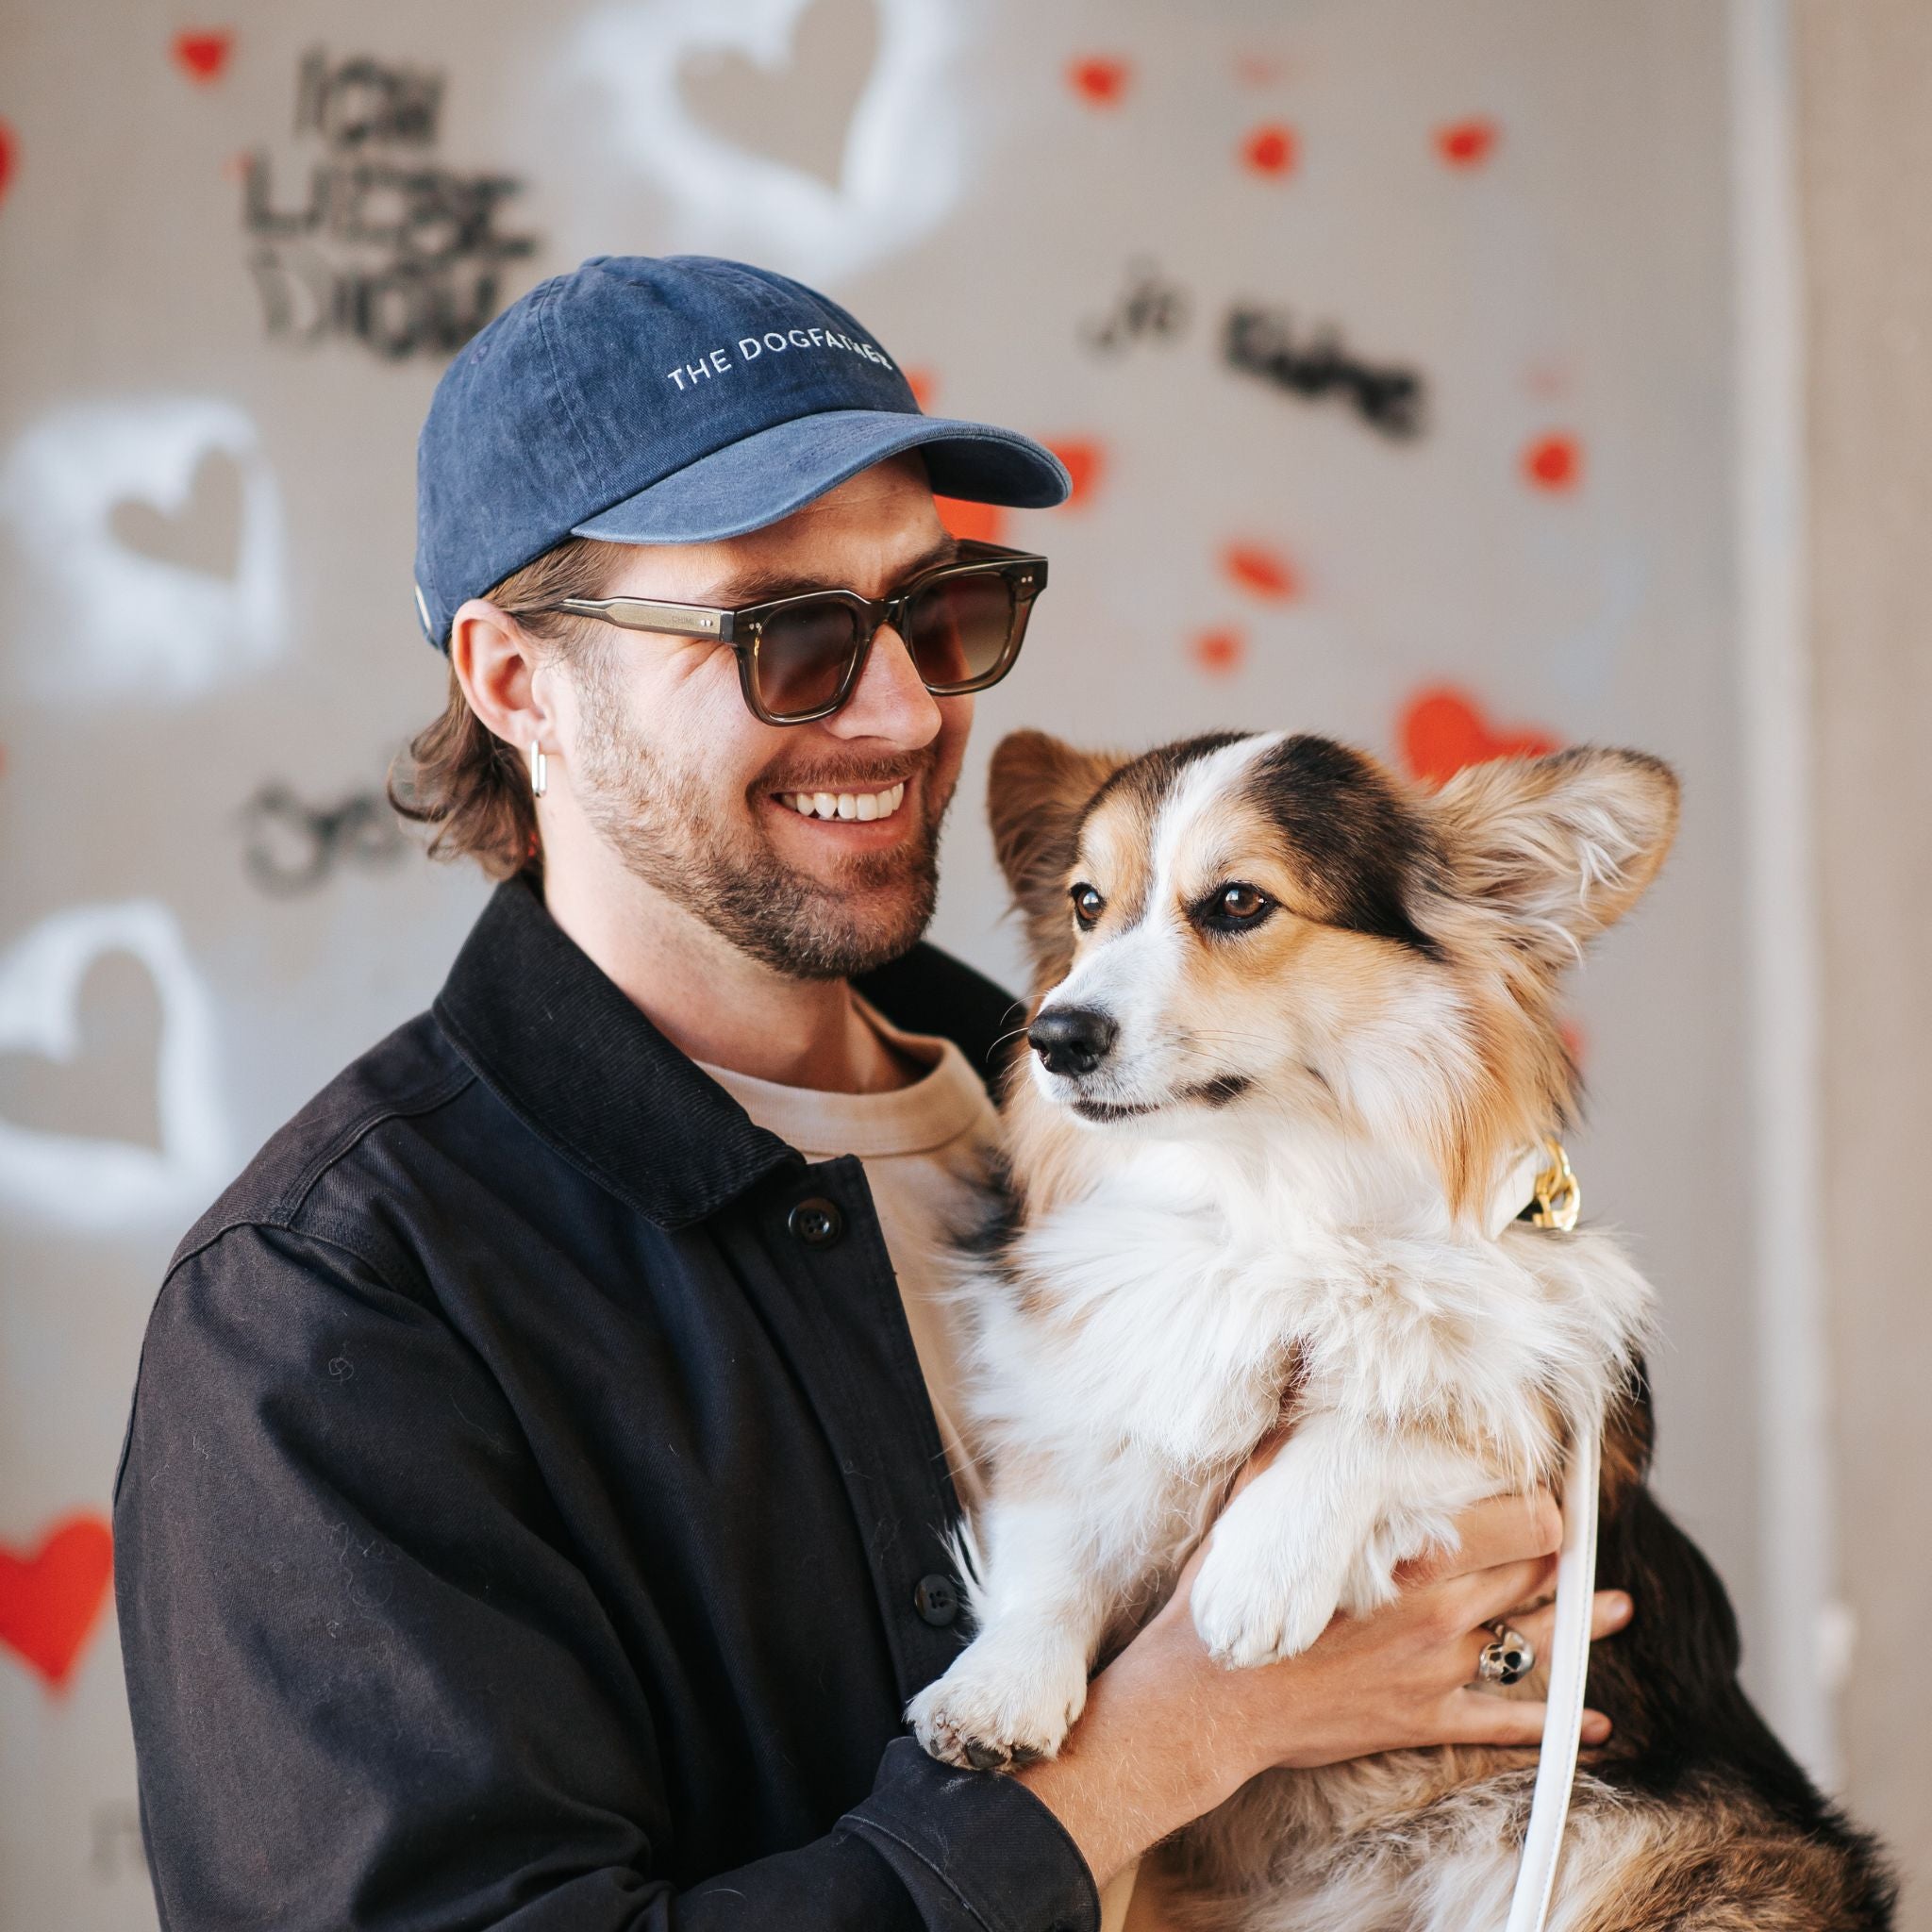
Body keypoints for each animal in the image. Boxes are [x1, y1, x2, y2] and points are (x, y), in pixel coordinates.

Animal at [911, 726, 1893, 1932]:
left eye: (1236, 902)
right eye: (1086, 903)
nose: (1054, 1034)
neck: (1263, 1194)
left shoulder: (1547, 1395)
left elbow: (1395, 1408)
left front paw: (1257, 1571)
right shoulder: (1084, 1397)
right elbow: (1054, 1549)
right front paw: (994, 1692)